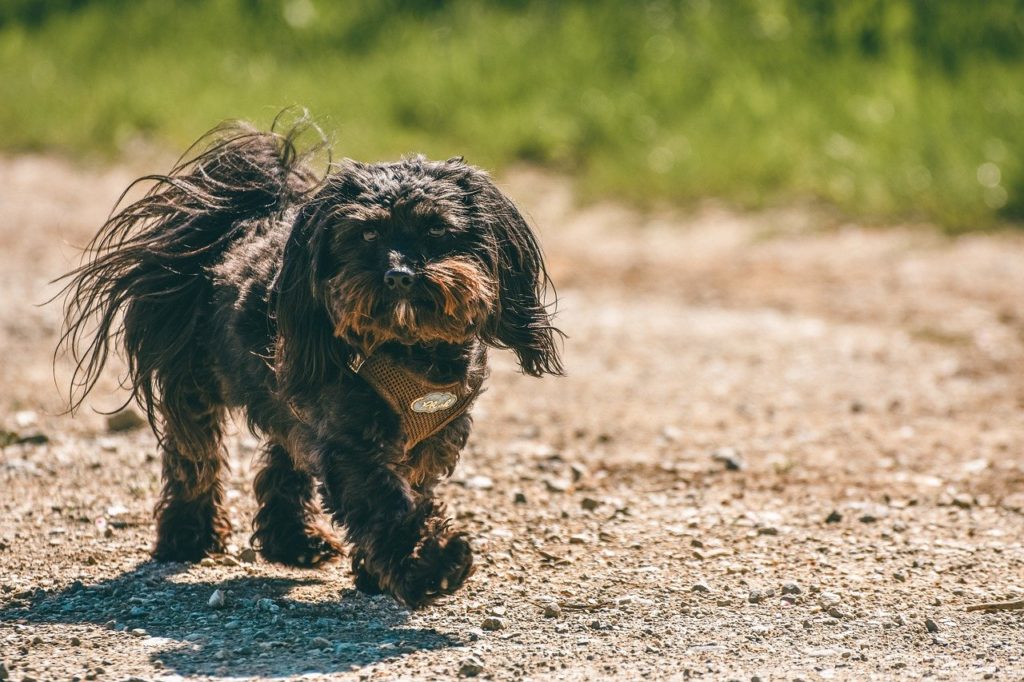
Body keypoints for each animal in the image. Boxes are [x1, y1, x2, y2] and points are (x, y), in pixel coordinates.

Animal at [58, 114, 565, 606]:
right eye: (367, 233)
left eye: (437, 229)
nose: (399, 275)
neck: (409, 350)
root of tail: (232, 222)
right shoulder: (353, 442)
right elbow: (385, 505)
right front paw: (429, 565)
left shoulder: (429, 438)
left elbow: (405, 493)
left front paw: (379, 573)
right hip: (197, 381)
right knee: (193, 455)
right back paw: (189, 536)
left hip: (290, 394)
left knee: (284, 458)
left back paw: (294, 541)